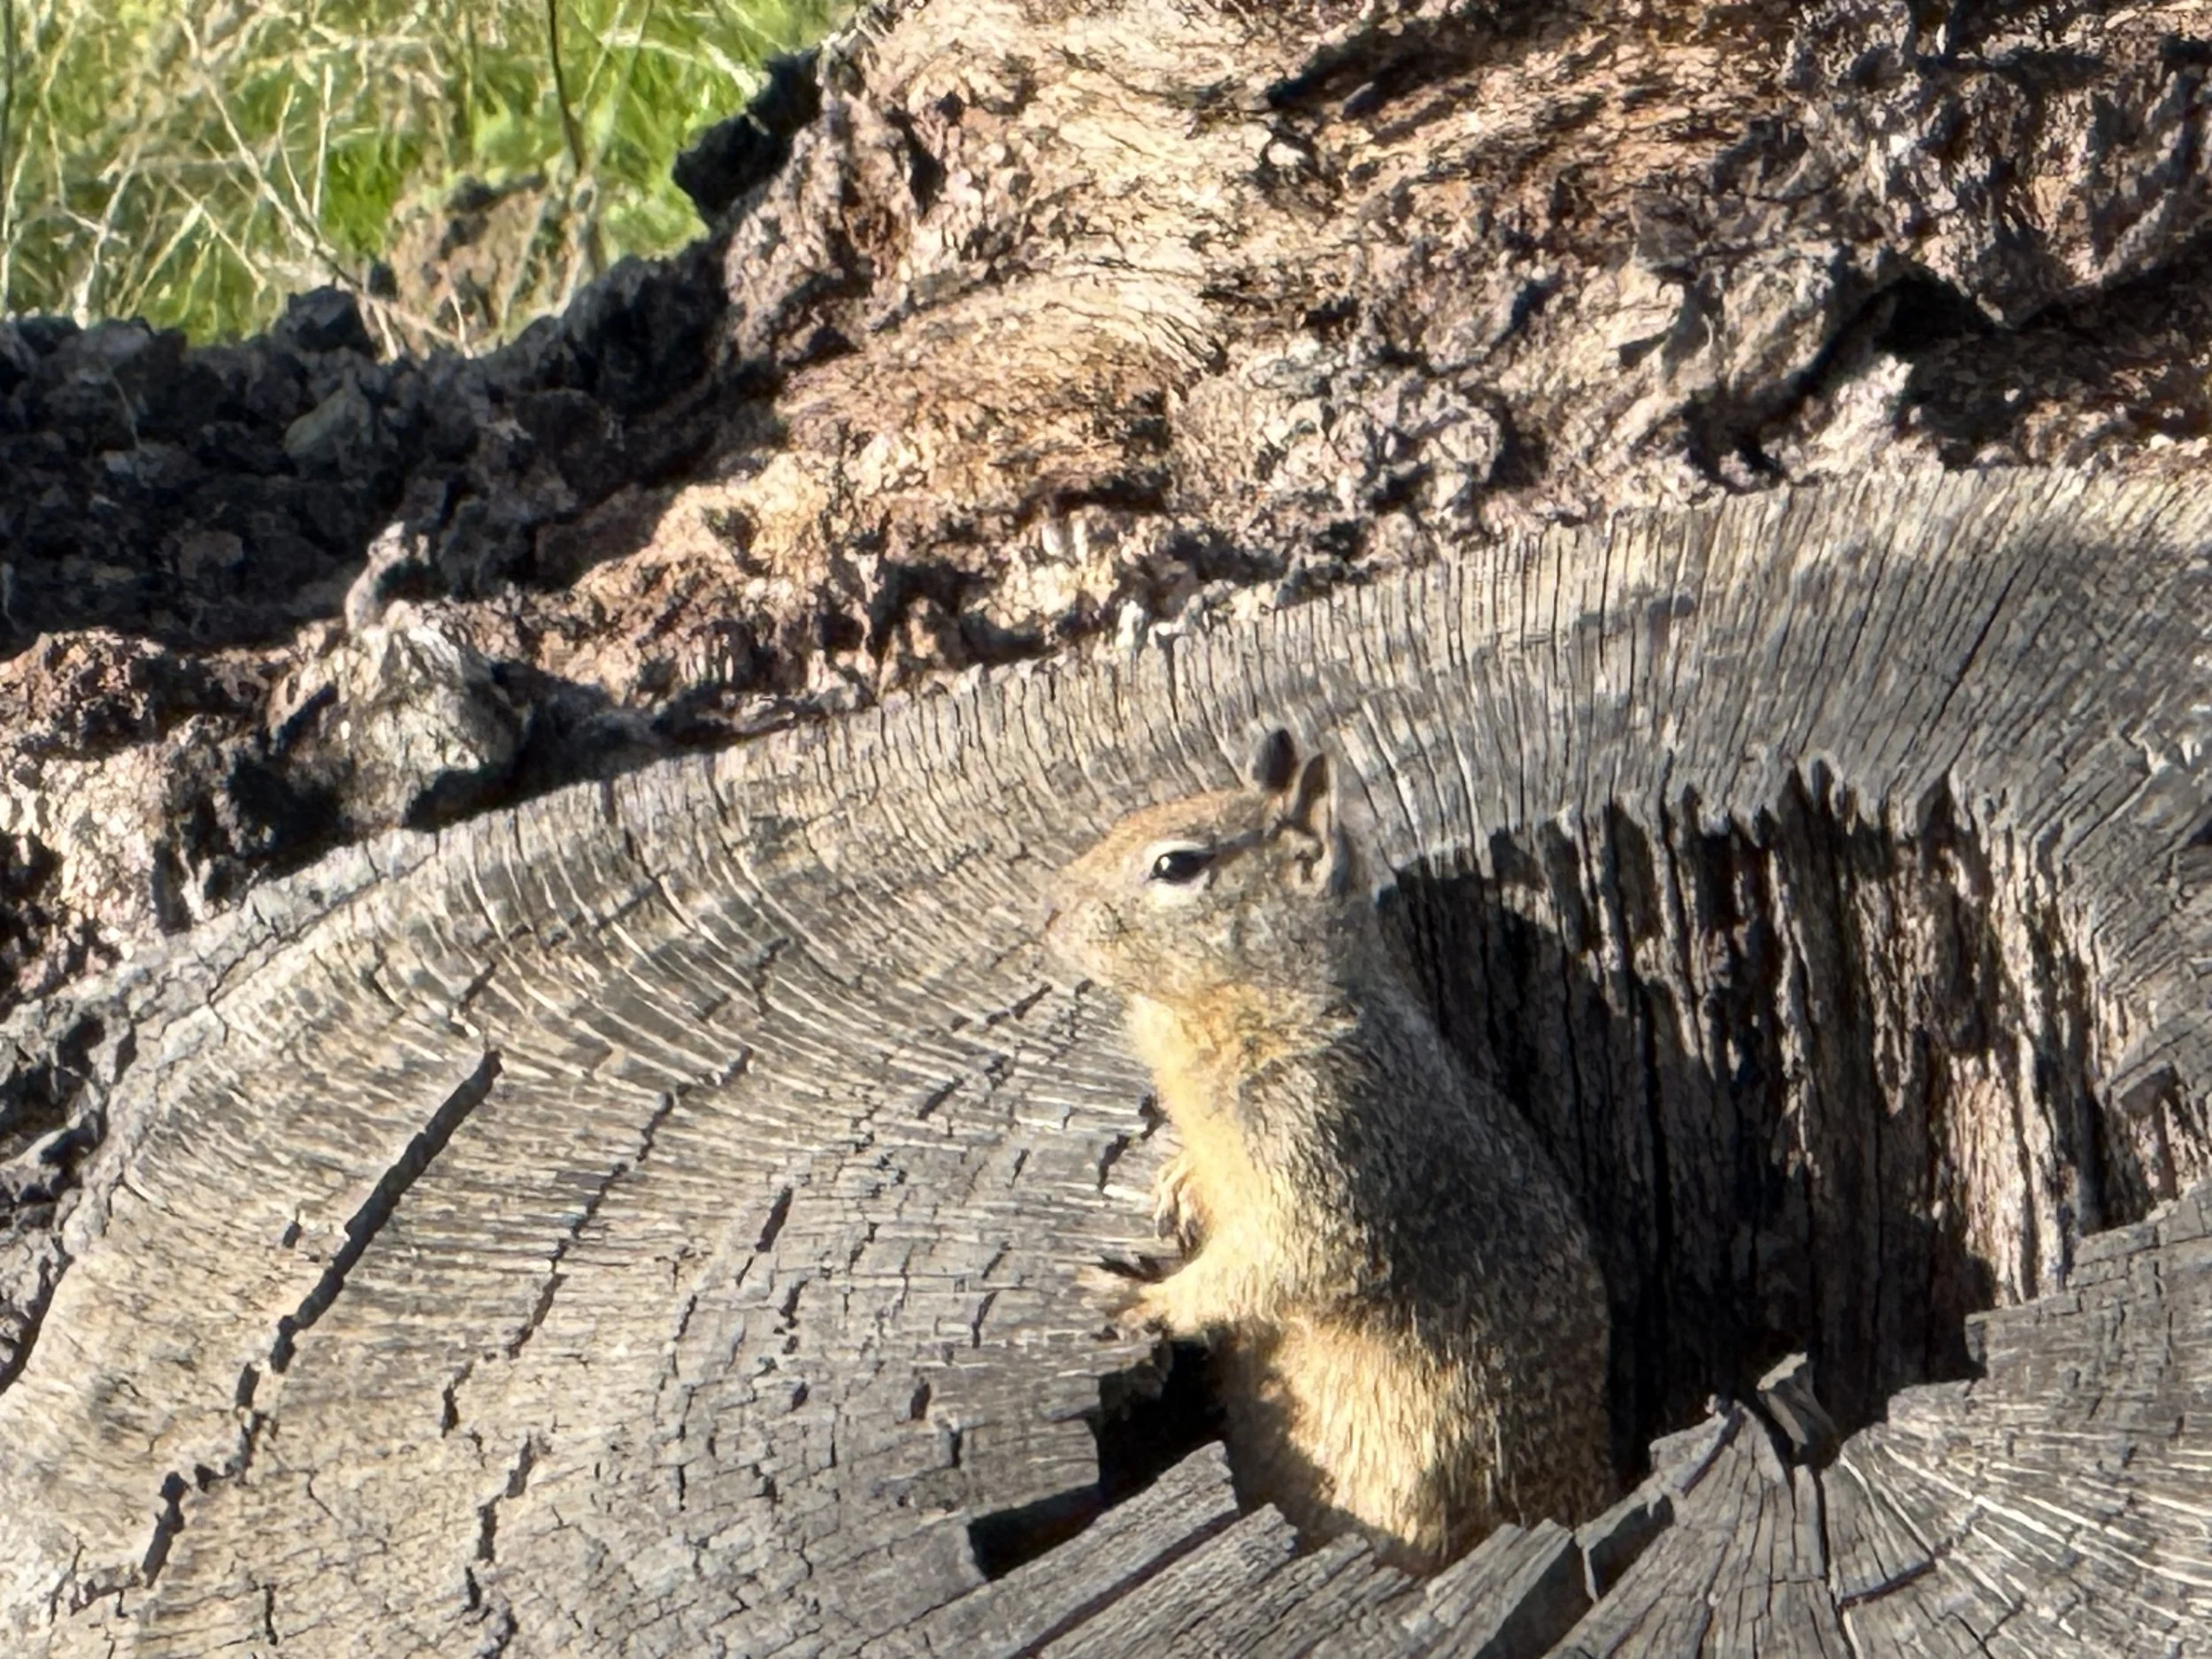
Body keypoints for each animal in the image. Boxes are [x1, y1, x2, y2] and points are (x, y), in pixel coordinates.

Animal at [1043, 729, 1614, 1571]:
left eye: (1177, 864)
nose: (1049, 914)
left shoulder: (1331, 1146)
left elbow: (1288, 1261)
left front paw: (1150, 1297)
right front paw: (1177, 1183)